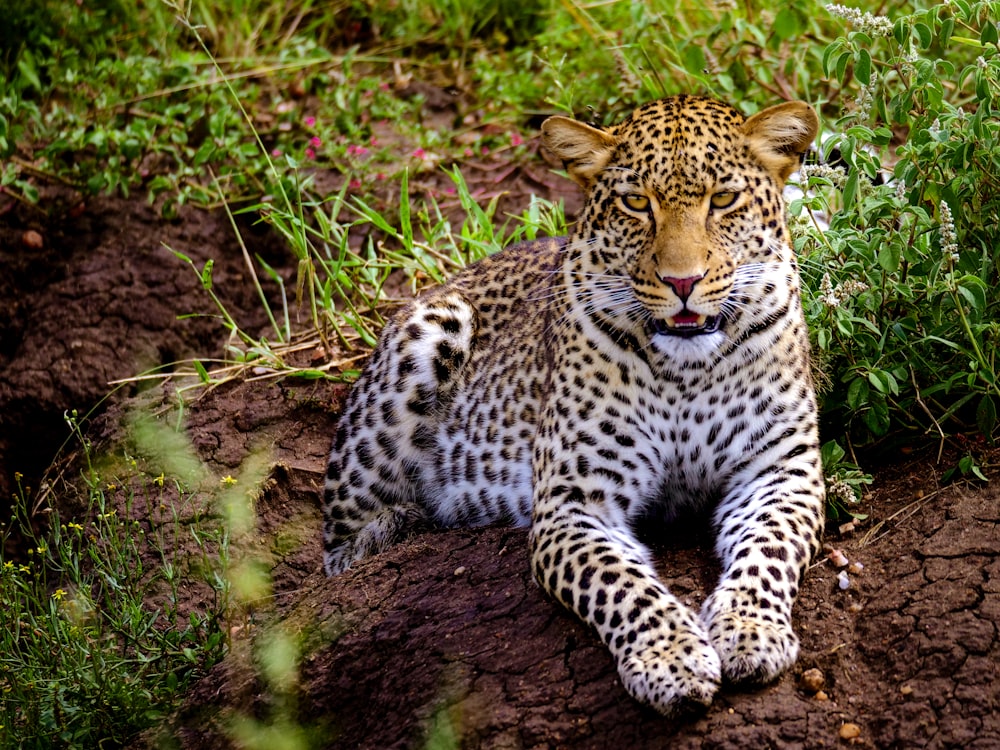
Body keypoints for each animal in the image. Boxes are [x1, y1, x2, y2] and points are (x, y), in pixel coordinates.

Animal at [324, 94, 824, 716]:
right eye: (637, 203)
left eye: (724, 200)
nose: (682, 282)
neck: (686, 370)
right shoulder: (574, 504)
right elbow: (622, 586)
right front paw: (672, 660)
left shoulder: (780, 473)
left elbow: (768, 553)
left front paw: (750, 632)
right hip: (427, 336)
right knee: (338, 555)